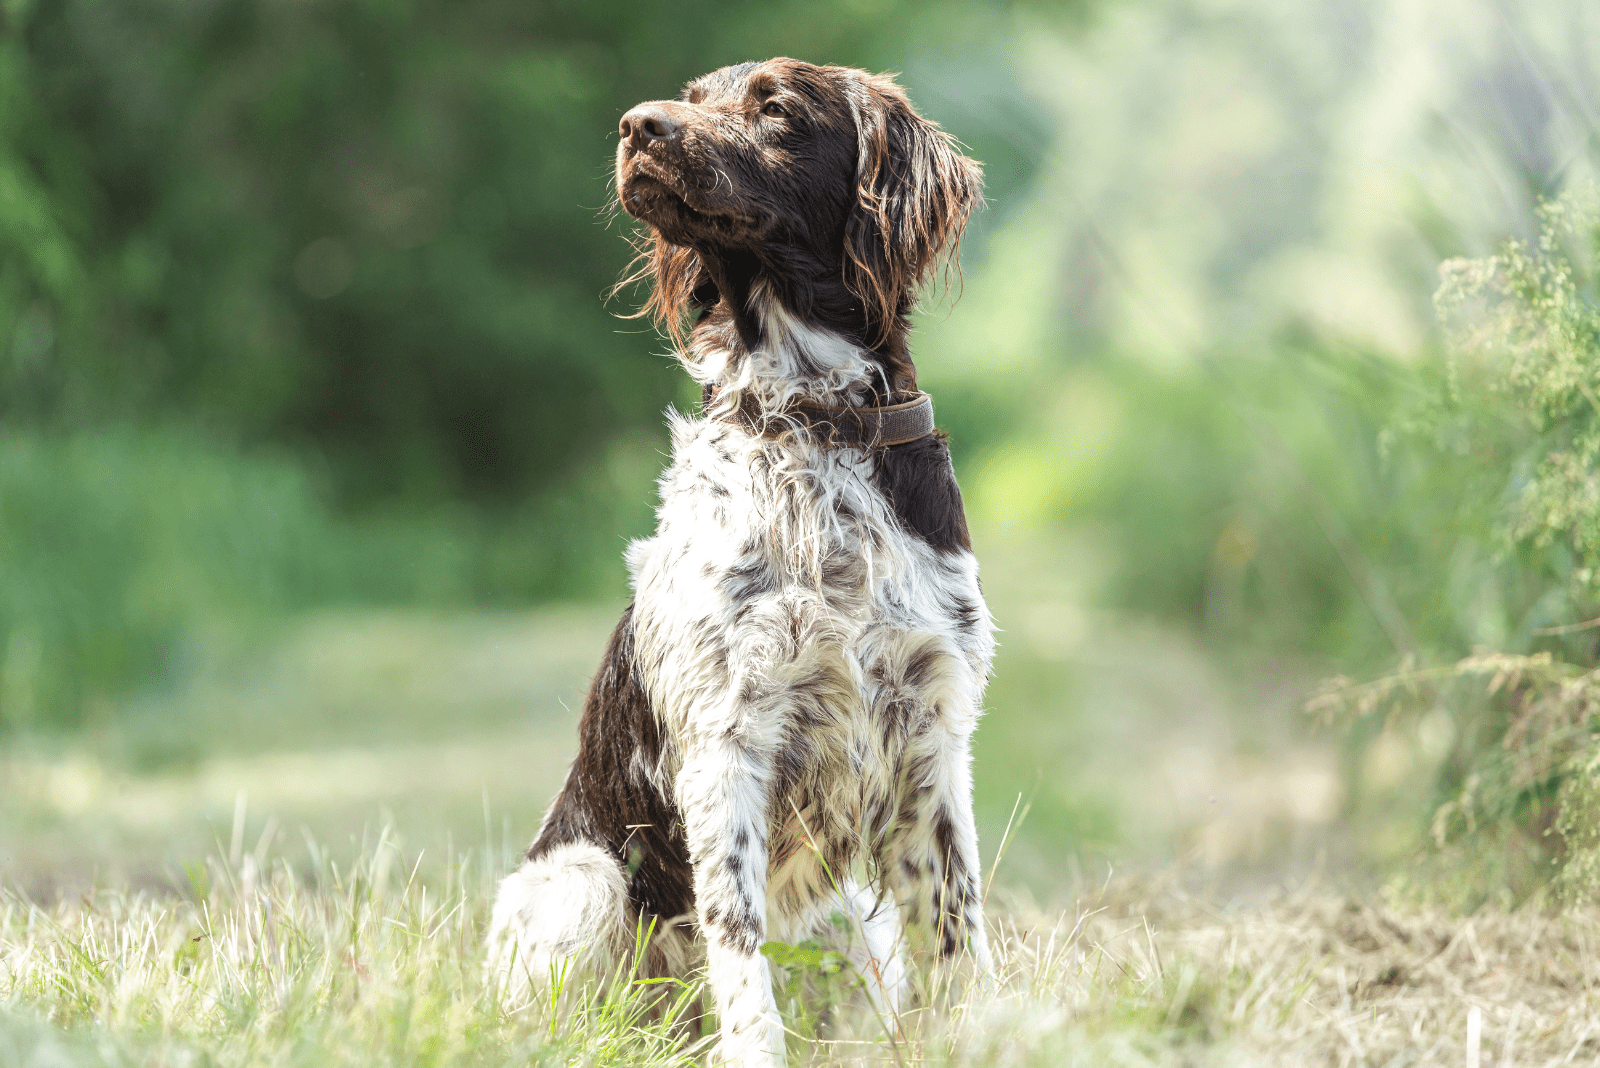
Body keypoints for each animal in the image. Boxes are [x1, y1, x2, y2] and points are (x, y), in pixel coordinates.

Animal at [483, 60, 985, 1068]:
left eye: (776, 108)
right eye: (687, 97)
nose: (637, 126)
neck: (811, 419)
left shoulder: (935, 737)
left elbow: (964, 942)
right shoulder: (727, 744)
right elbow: (742, 959)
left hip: (852, 916)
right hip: (588, 875)